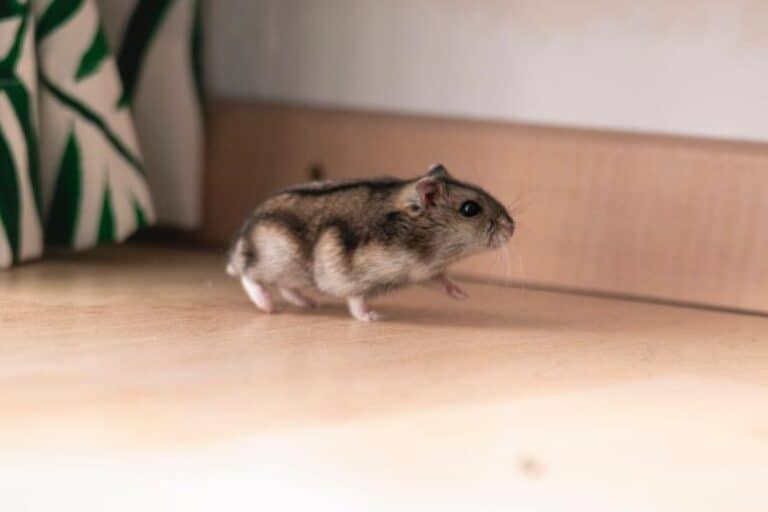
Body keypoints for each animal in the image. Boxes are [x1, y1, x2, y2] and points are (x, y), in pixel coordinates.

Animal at [226, 164, 514, 321]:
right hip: (275, 261)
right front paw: (373, 317)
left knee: (286, 288)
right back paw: (267, 305)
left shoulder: (422, 272)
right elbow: (356, 301)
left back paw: (309, 304)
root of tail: (241, 242)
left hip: (292, 272)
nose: (512, 228)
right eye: (470, 209)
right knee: (248, 275)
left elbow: (440, 279)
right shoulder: (352, 276)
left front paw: (463, 295)